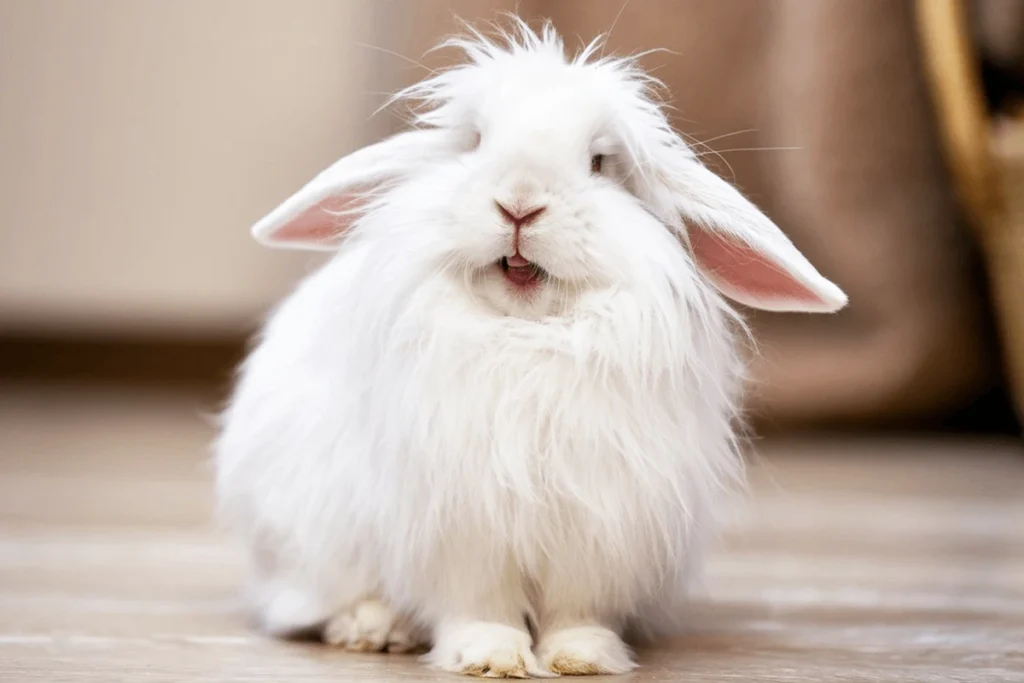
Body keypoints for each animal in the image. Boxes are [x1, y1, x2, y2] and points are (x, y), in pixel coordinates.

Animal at [211, 20, 843, 679]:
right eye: (476, 141)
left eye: (599, 162)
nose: (519, 202)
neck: (524, 333)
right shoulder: (463, 530)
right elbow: (478, 607)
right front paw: (490, 658)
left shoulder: (596, 527)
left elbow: (575, 611)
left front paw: (583, 657)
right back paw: (373, 628)